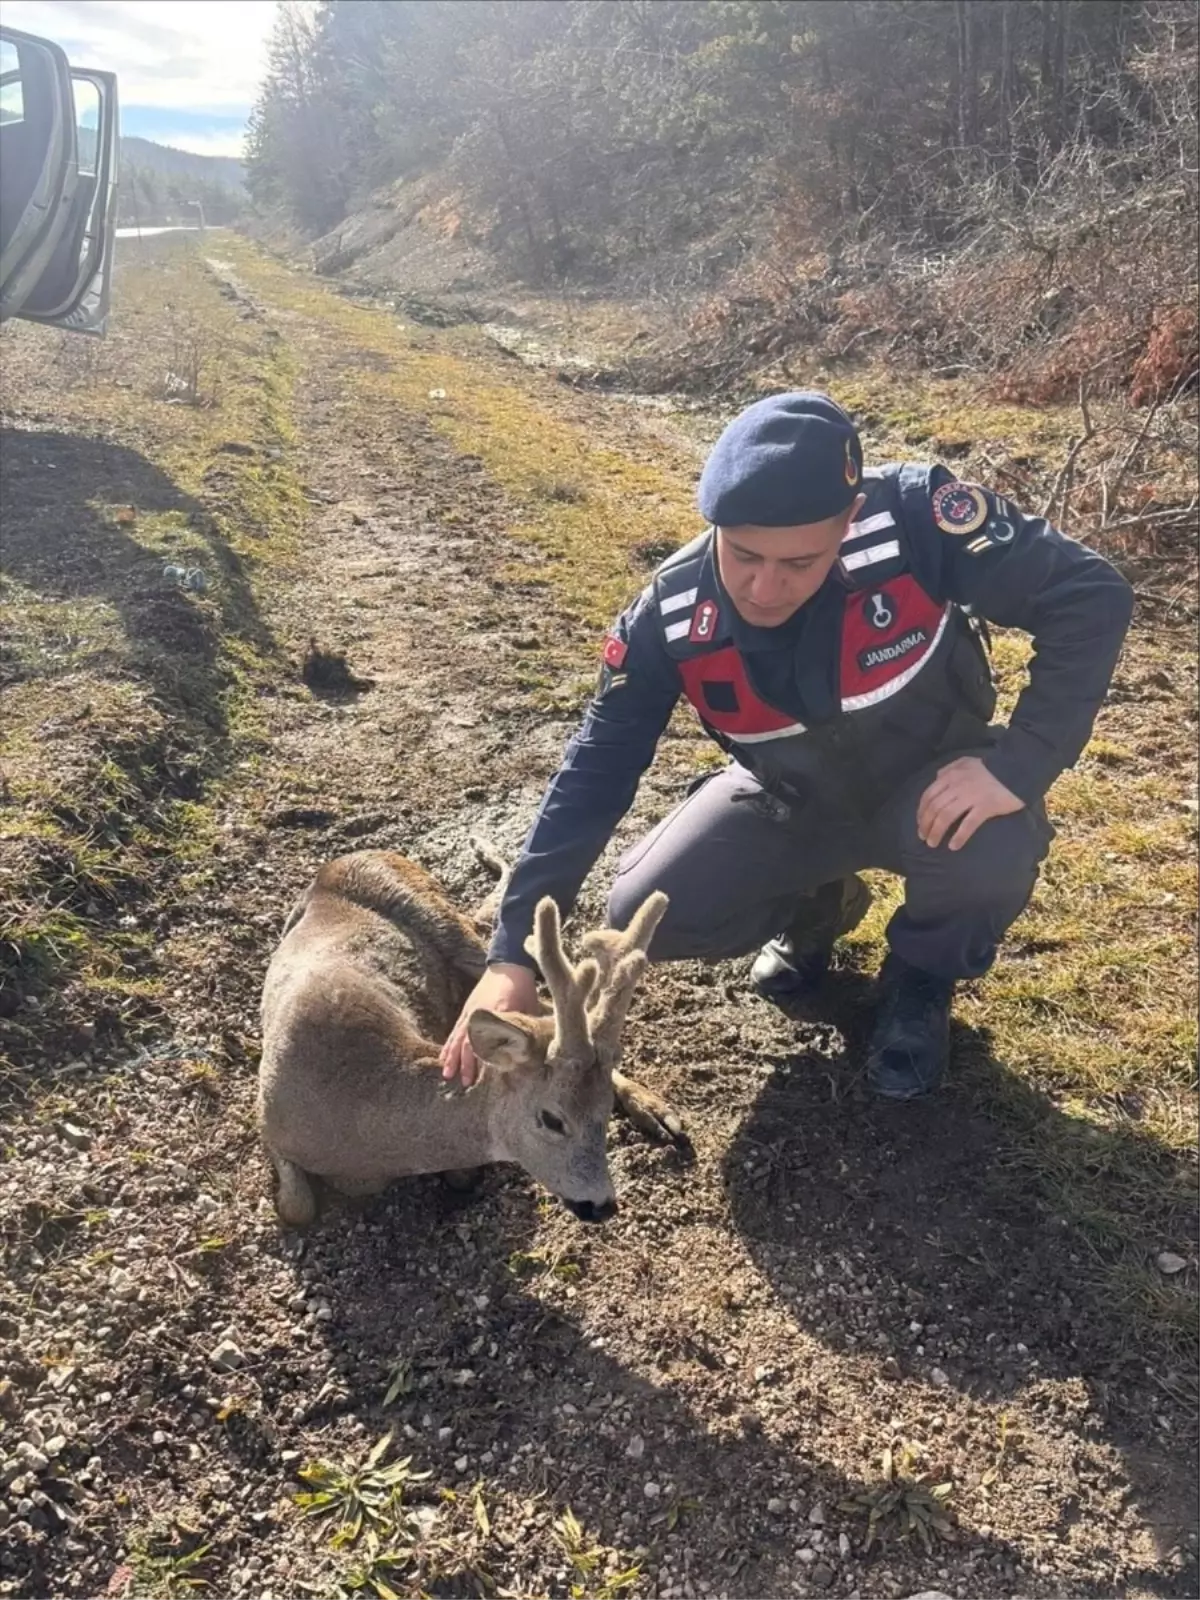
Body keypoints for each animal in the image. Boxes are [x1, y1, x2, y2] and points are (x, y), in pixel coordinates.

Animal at [256, 851, 684, 1222]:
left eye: (603, 1111)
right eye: (551, 1119)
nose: (602, 1205)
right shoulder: (266, 1113)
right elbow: (295, 1208)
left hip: (454, 930)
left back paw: (657, 1112)